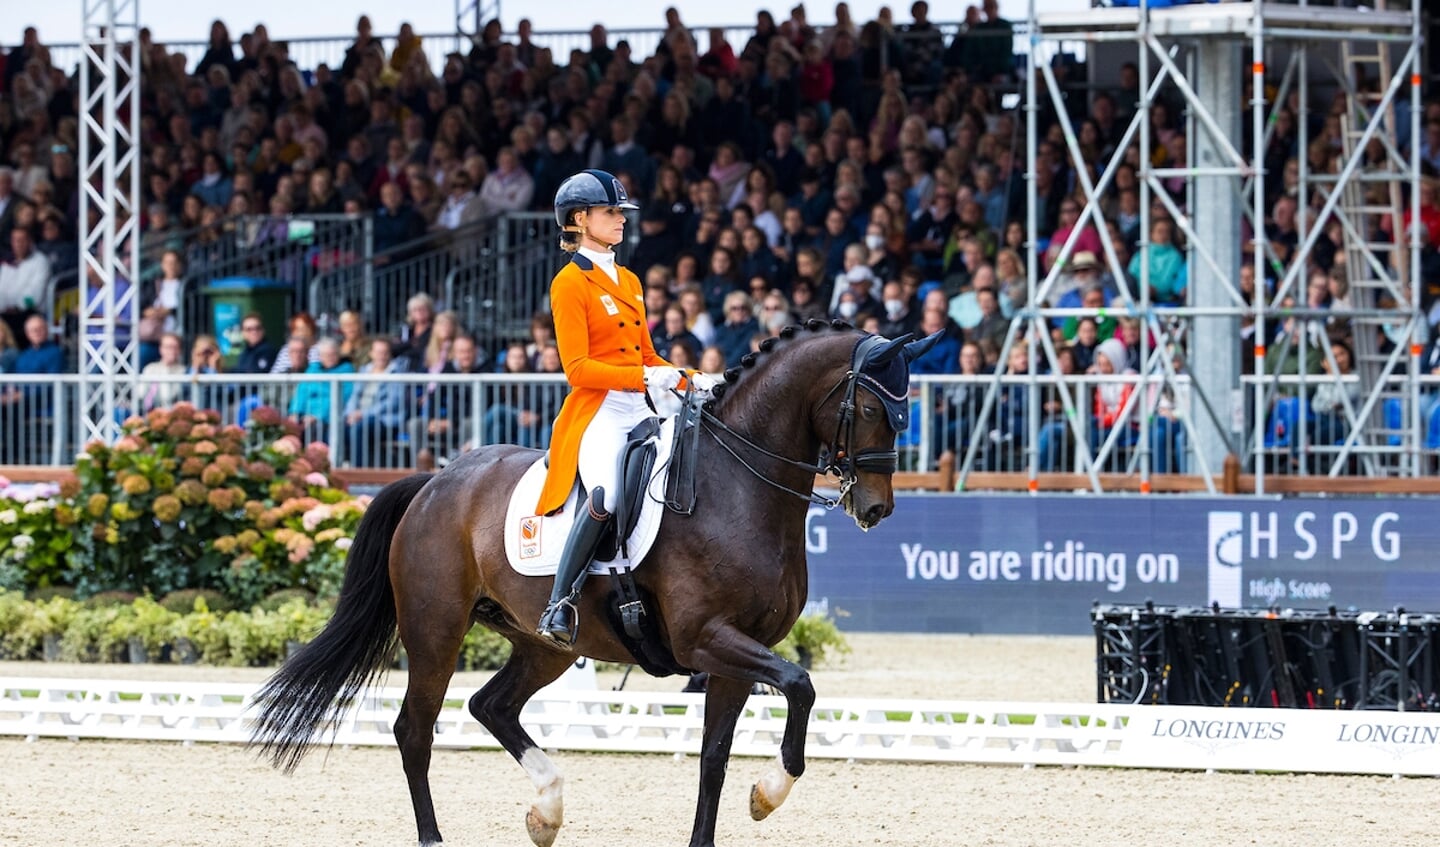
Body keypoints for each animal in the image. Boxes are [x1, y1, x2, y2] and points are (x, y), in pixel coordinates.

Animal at [247, 319, 933, 847]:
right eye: (871, 408)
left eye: (905, 412)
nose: (876, 508)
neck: (738, 487)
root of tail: (437, 480)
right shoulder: (707, 639)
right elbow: (801, 684)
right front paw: (768, 793)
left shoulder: (739, 653)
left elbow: (716, 754)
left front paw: (735, 813)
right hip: (435, 631)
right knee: (415, 731)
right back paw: (436, 837)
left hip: (543, 645)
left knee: (490, 705)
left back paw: (546, 812)